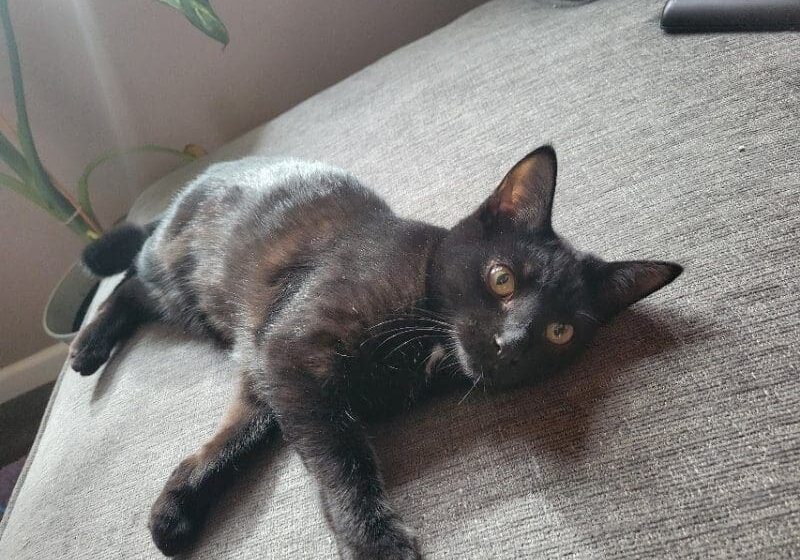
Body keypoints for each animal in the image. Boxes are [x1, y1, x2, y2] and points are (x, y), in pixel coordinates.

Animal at [70, 147, 680, 556]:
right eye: (501, 279)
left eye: (559, 332)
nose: (510, 344)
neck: (431, 344)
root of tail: (193, 184)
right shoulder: (292, 354)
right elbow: (343, 458)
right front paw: (375, 543)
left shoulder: (267, 369)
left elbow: (235, 439)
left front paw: (175, 508)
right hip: (179, 282)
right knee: (129, 280)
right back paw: (86, 347)